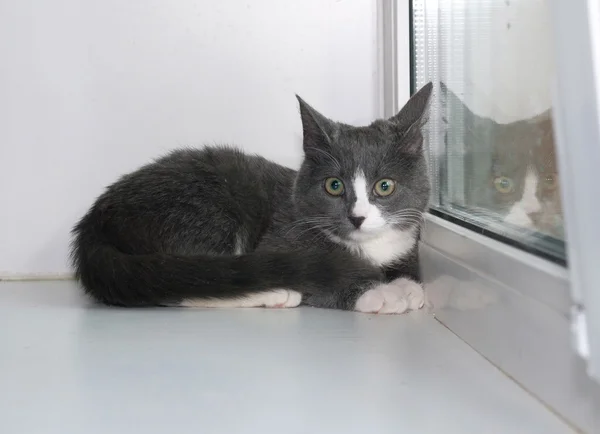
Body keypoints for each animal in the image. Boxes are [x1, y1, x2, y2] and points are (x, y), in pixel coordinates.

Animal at [71, 82, 432, 312]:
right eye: (334, 186)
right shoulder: (283, 237)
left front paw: (406, 285)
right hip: (202, 209)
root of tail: (95, 220)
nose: (357, 217)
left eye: (384, 186)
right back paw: (275, 294)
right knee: (190, 283)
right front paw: (381, 295)